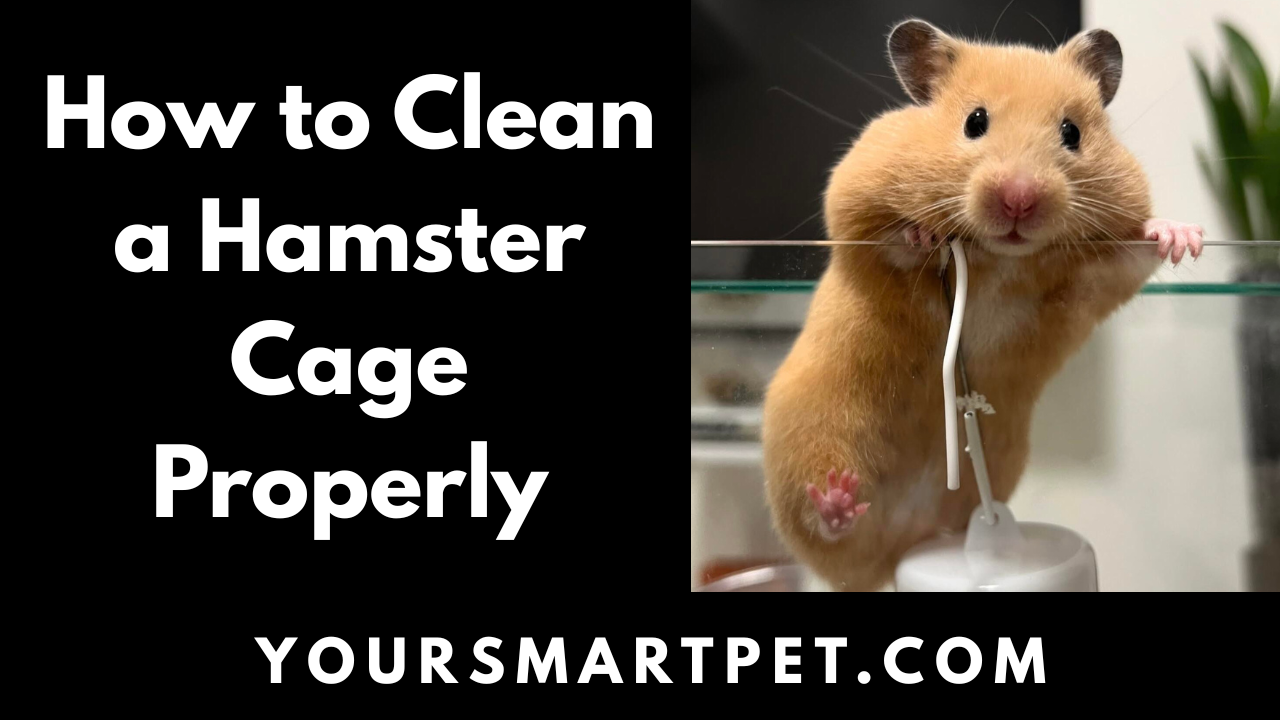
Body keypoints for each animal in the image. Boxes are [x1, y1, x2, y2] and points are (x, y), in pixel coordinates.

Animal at [761, 19, 1204, 591]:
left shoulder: (1094, 278)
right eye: (975, 121)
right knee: (825, 526)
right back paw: (838, 500)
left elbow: (1132, 253)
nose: (1019, 199)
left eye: (1072, 133)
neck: (1001, 257)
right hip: (811, 437)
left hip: (996, 465)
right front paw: (925, 234)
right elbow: (893, 241)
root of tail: (898, 545)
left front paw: (1181, 236)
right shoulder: (855, 206)